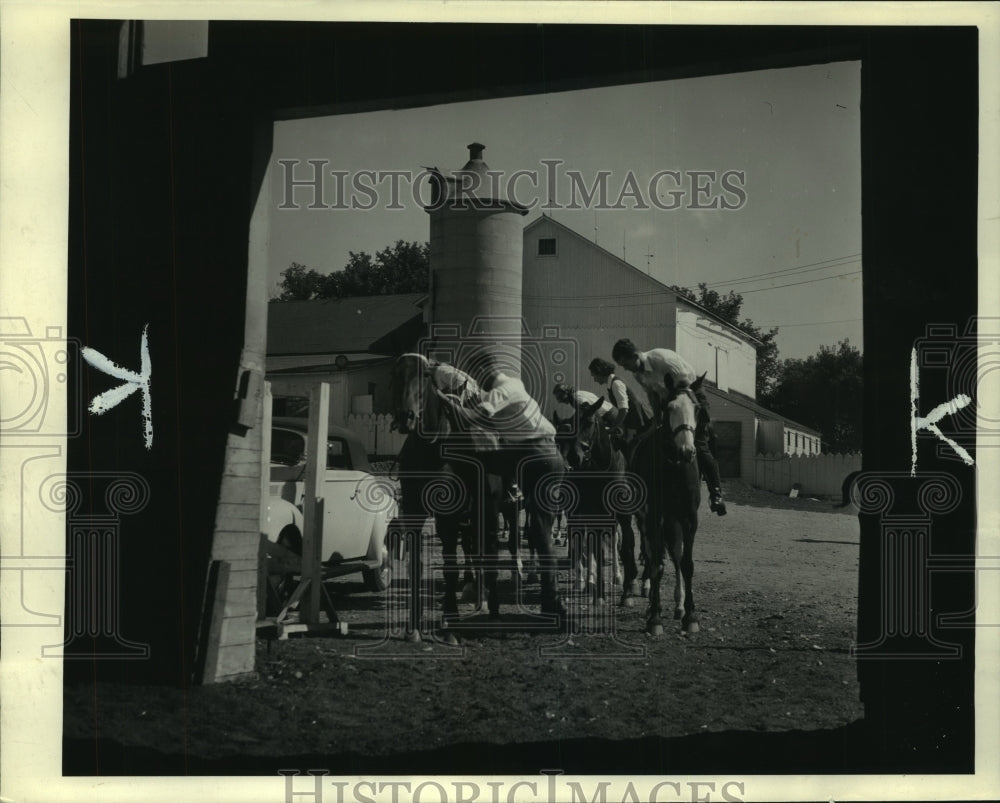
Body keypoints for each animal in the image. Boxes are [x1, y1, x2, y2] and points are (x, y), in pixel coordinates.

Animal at [552, 398, 644, 608]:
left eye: (588, 423)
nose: (573, 458)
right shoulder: (589, 513)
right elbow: (594, 548)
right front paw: (597, 591)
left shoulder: (623, 515)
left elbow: (626, 545)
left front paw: (627, 591)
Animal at [632, 380, 704, 636]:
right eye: (670, 407)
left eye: (697, 408)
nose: (686, 451)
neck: (675, 468)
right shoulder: (654, 516)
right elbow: (655, 563)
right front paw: (654, 617)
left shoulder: (689, 518)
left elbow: (687, 563)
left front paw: (690, 615)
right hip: (647, 519)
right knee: (653, 554)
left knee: (674, 554)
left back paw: (679, 606)